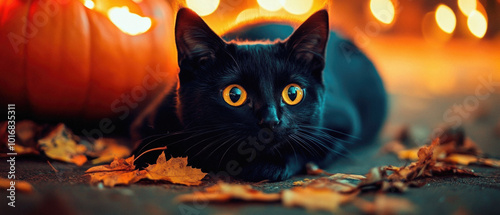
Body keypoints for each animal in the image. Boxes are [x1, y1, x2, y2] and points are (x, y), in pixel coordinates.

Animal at [132, 8, 386, 181]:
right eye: (234, 95)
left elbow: (311, 148)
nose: (270, 120)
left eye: (292, 93)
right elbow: (145, 148)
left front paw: (269, 166)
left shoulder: (343, 124)